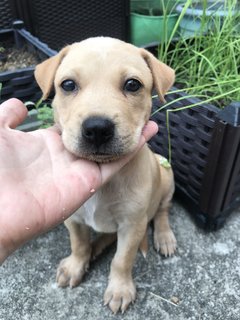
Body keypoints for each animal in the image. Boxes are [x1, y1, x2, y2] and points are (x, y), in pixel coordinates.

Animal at [34, 37, 176, 312]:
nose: (97, 129)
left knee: (162, 210)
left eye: (132, 84)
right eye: (68, 84)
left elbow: (122, 259)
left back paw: (164, 237)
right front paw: (76, 265)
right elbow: (78, 244)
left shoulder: (133, 226)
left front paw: (120, 289)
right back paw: (95, 248)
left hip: (166, 175)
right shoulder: (74, 219)